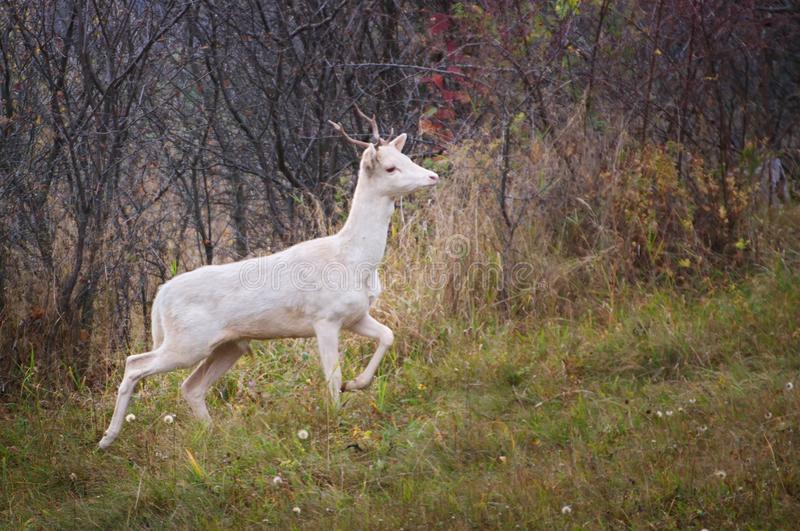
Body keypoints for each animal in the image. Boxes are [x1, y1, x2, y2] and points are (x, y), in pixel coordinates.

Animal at [101, 107, 440, 448]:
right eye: (390, 167)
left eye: (406, 157)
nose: (432, 176)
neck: (353, 260)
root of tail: (161, 294)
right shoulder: (324, 318)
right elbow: (332, 375)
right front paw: (336, 418)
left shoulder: (355, 316)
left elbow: (387, 335)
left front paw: (356, 384)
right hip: (186, 341)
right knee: (135, 364)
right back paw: (108, 438)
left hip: (228, 345)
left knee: (190, 386)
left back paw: (213, 435)